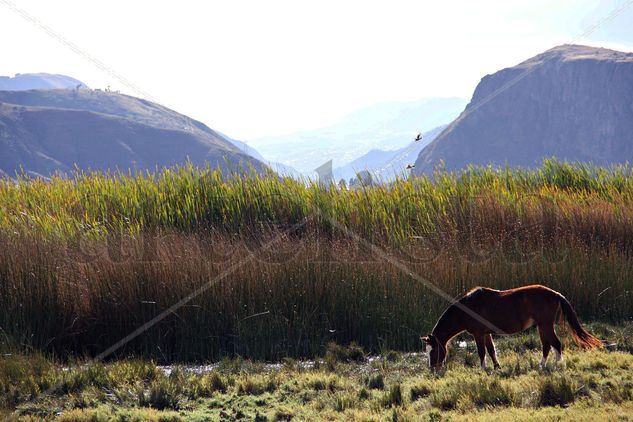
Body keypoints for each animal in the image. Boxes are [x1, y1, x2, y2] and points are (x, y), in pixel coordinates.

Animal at [422, 286, 600, 370]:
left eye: (434, 351)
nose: (432, 369)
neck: (468, 309)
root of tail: (556, 294)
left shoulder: (478, 334)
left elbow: (481, 352)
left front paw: (483, 369)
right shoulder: (486, 333)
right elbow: (491, 350)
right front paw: (496, 367)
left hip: (546, 325)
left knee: (555, 344)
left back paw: (558, 365)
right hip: (542, 326)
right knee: (547, 346)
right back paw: (541, 365)